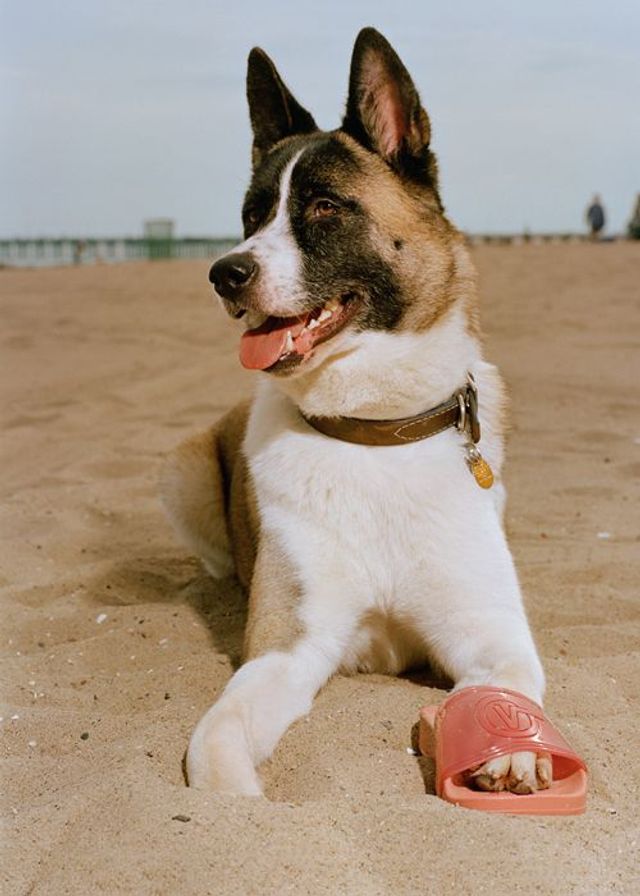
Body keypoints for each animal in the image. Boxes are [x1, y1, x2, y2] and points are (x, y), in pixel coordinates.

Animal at [161, 28, 550, 796]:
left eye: (323, 207)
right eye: (252, 214)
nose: (224, 273)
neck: (374, 434)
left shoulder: (493, 632)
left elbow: (507, 686)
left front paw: (514, 747)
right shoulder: (286, 651)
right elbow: (219, 743)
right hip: (182, 468)